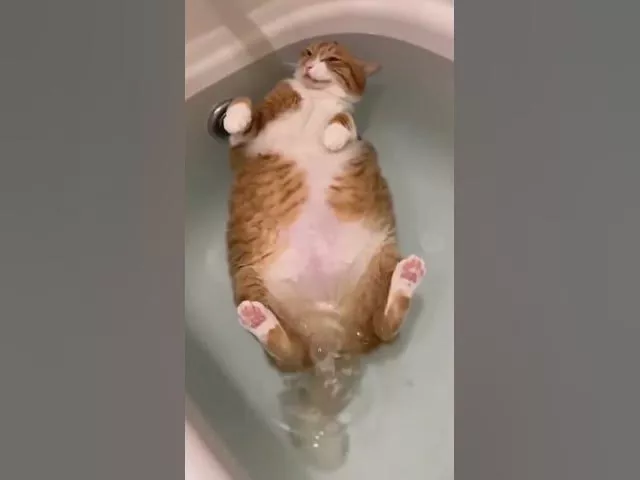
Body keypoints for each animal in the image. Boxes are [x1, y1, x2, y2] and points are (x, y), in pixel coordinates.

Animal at [223, 41, 426, 372]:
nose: (309, 65)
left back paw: (406, 277)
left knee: (384, 325)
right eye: (307, 52)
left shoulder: (352, 126)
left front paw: (333, 134)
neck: (314, 97)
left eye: (332, 59)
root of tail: (331, 338)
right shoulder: (242, 146)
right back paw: (258, 319)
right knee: (289, 353)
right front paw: (233, 117)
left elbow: (345, 120)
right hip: (249, 280)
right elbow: (244, 106)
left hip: (381, 258)